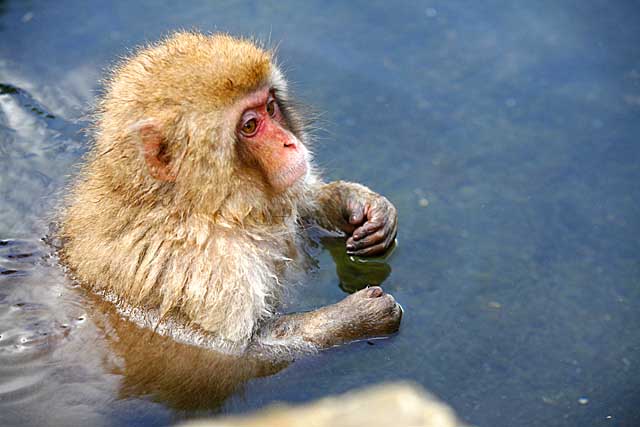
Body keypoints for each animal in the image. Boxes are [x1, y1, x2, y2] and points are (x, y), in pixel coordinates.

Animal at [58, 31, 400, 354]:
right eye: (249, 126)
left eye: (271, 108)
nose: (289, 142)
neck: (193, 206)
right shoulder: (205, 269)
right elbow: (229, 351)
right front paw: (355, 318)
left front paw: (357, 204)